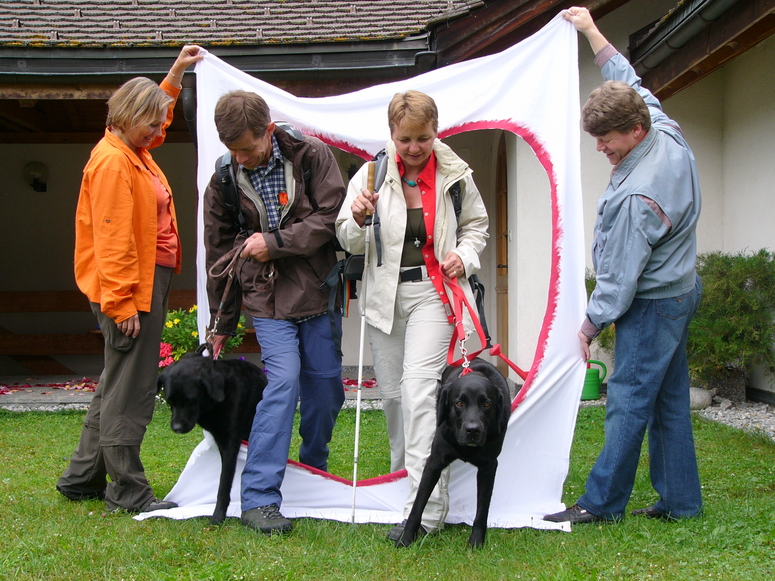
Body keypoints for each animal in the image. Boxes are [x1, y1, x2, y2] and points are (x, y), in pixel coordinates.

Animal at [156, 352, 268, 524]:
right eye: (170, 401)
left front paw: (218, 516)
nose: (177, 428)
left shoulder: (230, 443)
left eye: (191, 401)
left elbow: (224, 484)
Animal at [398, 356, 512, 548]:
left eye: (487, 404)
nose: (473, 430)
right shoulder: (434, 462)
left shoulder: (489, 467)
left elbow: (482, 509)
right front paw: (405, 538)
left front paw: (476, 541)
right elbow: (418, 505)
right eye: (459, 403)